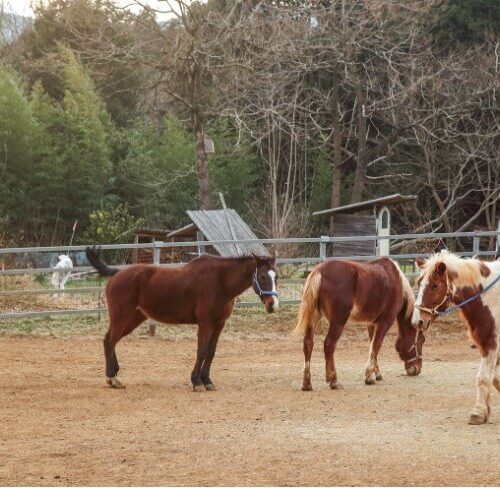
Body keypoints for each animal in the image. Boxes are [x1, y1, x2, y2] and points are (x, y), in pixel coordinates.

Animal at [87, 248, 280, 388]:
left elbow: (211, 352)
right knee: (110, 341)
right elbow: (202, 351)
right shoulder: (206, 323)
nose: (272, 304)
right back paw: (112, 378)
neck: (220, 282)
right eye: (262, 276)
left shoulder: (219, 324)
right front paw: (197, 382)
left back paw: (114, 374)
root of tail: (117, 273)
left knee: (111, 340)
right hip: (121, 316)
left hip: (133, 318)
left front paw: (207, 381)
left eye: (276, 276)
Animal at [294, 258, 424, 390]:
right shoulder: (385, 321)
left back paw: (307, 383)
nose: (417, 369)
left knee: (308, 344)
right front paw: (369, 377)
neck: (396, 280)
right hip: (338, 321)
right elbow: (376, 345)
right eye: (421, 341)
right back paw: (334, 381)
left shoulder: (371, 323)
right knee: (329, 344)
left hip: (314, 317)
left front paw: (376, 374)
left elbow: (372, 346)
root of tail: (319, 271)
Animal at [412, 250, 498, 426]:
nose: (417, 321)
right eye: (419, 283)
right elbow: (494, 378)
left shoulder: (491, 342)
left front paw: (478, 412)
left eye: (435, 285)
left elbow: (484, 378)